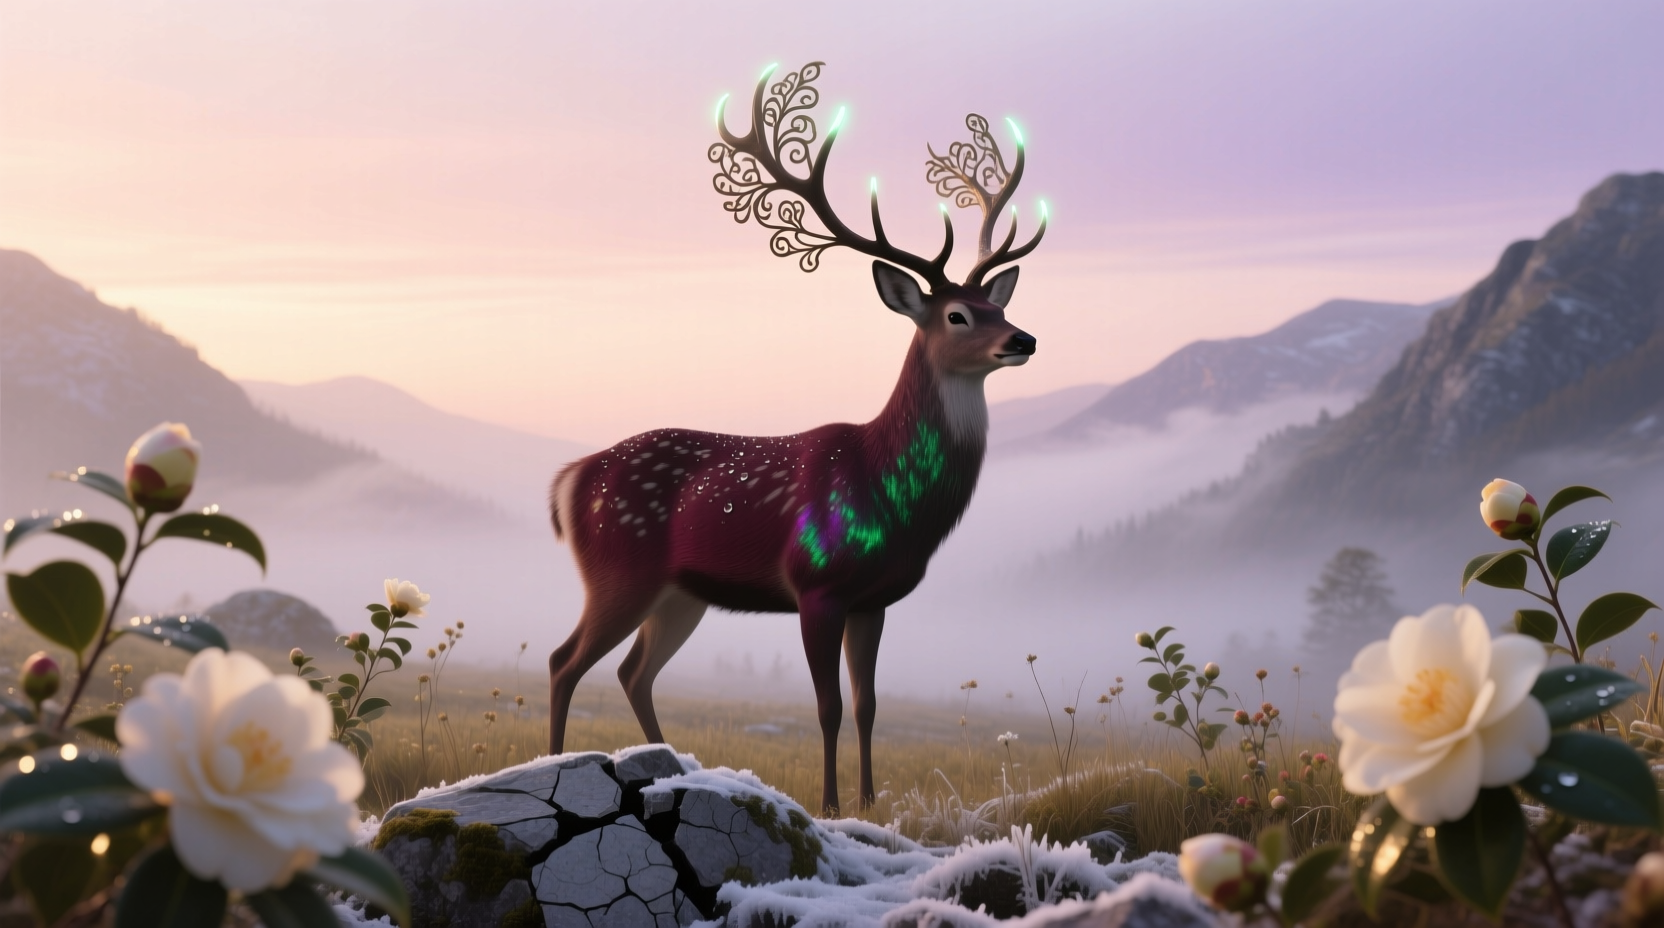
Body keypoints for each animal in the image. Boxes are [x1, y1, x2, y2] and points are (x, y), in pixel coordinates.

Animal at [547, 61, 1046, 815]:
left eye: (999, 304)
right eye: (958, 315)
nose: (1024, 340)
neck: (889, 490)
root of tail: (569, 478)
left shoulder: (874, 598)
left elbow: (868, 705)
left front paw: (868, 802)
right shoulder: (816, 583)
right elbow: (828, 707)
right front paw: (833, 804)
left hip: (680, 593)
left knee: (634, 671)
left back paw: (672, 768)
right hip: (617, 567)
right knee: (564, 661)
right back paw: (549, 767)